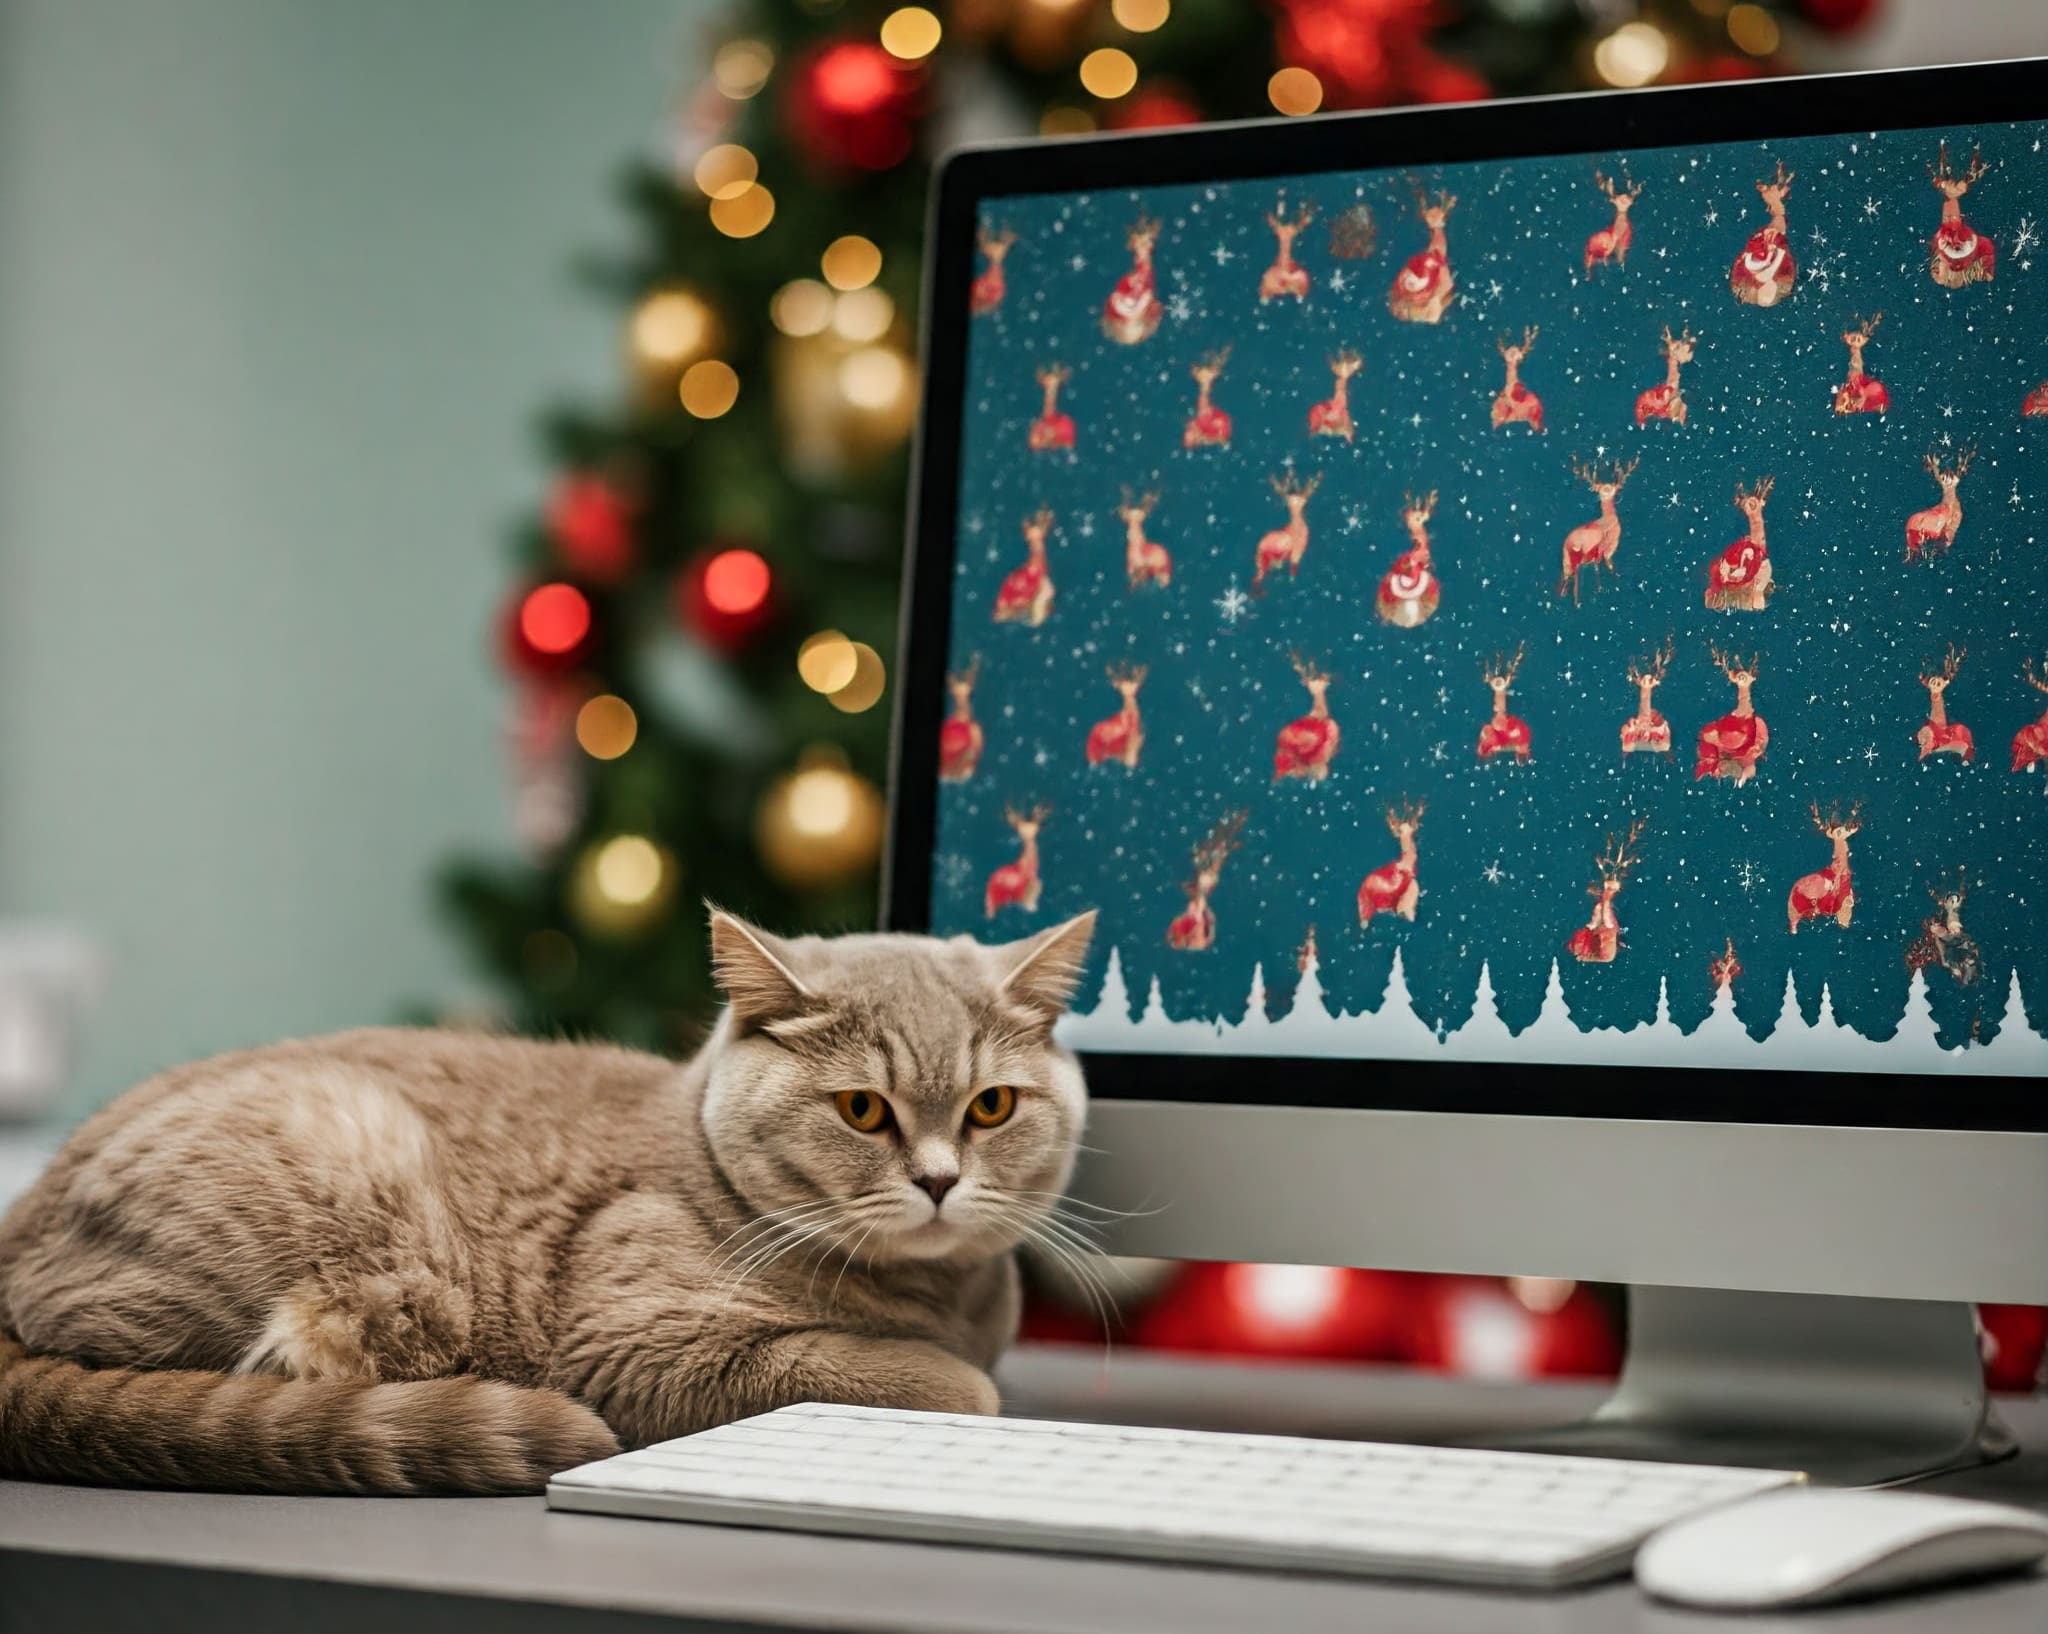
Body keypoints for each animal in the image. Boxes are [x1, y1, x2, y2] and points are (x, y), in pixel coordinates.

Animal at [0, 909, 1097, 1498]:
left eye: (991, 1105)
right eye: (863, 1109)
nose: (938, 1178)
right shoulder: (638, 1343)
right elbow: (937, 1380)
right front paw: (954, 1377)